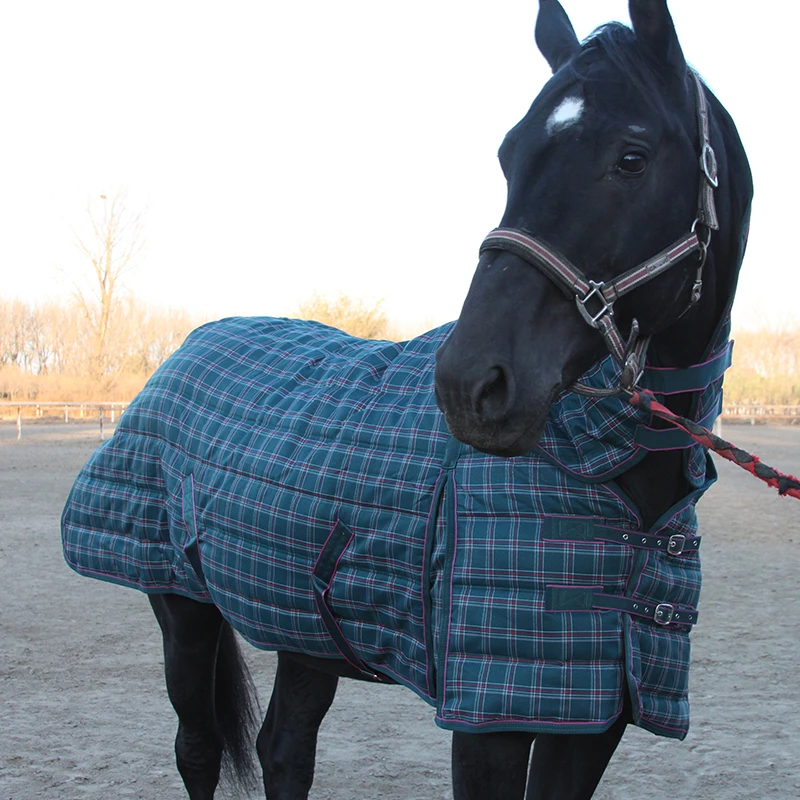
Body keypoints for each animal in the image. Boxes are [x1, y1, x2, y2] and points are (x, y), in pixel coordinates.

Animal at [61, 1, 752, 798]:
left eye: (632, 157)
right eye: (508, 155)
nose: (470, 383)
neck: (599, 469)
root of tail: (188, 347)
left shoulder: (594, 713)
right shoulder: (489, 718)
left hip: (303, 626)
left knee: (283, 749)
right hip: (182, 608)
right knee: (199, 749)